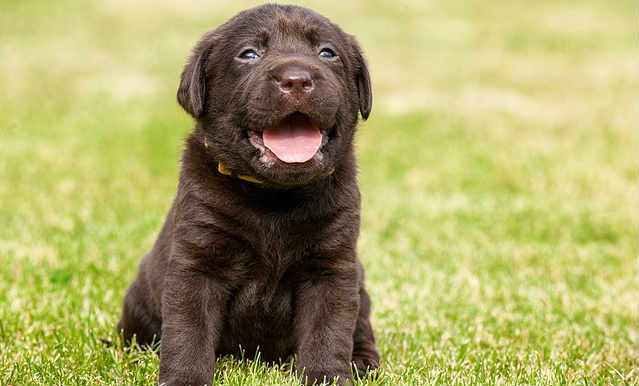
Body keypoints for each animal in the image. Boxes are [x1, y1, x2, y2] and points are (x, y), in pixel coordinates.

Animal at [117, 3, 380, 386]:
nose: (297, 79)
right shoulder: (198, 262)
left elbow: (328, 332)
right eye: (249, 54)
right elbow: (188, 331)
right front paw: (185, 379)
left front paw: (326, 377)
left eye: (327, 53)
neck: (275, 199)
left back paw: (361, 362)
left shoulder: (331, 268)